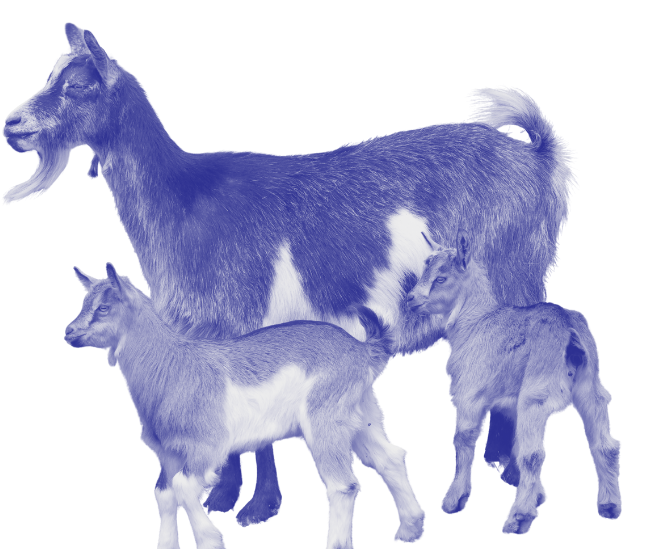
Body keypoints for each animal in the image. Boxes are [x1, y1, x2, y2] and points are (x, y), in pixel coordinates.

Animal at [64, 262, 428, 549]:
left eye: (104, 308)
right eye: (86, 300)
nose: (69, 332)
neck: (173, 367)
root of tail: (363, 350)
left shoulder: (206, 446)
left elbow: (184, 487)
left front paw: (211, 539)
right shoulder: (168, 455)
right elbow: (164, 496)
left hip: (324, 417)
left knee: (344, 484)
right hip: (361, 415)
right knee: (392, 458)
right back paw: (409, 531)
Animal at [406, 230, 622, 536]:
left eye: (441, 278)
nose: (410, 299)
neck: (474, 322)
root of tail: (569, 331)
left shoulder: (470, 394)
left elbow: (464, 439)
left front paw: (452, 501)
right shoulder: (507, 404)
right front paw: (536, 498)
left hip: (536, 392)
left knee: (533, 454)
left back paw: (516, 518)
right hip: (591, 386)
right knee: (605, 443)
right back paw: (609, 507)